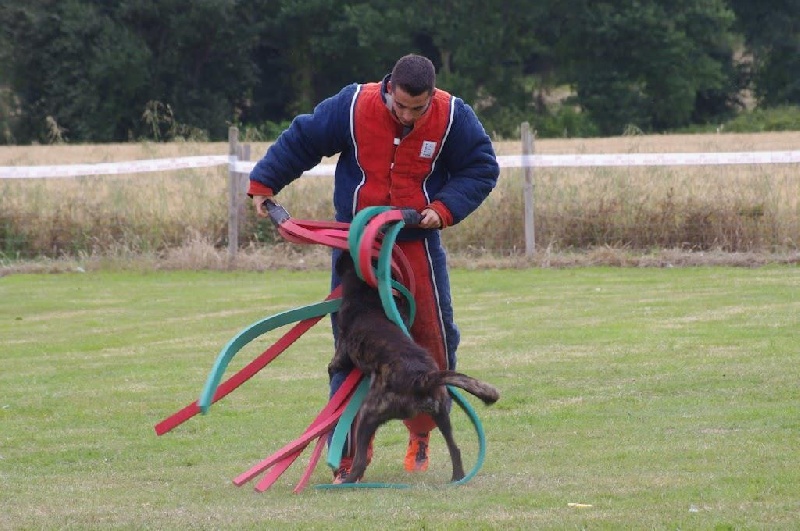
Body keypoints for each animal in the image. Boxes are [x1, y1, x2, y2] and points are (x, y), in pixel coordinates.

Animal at [328, 251, 496, 484]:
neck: (365, 295)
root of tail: (423, 377)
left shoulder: (343, 348)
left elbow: (335, 363)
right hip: (441, 414)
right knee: (455, 449)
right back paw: (457, 478)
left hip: (368, 414)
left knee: (360, 460)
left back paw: (348, 481)